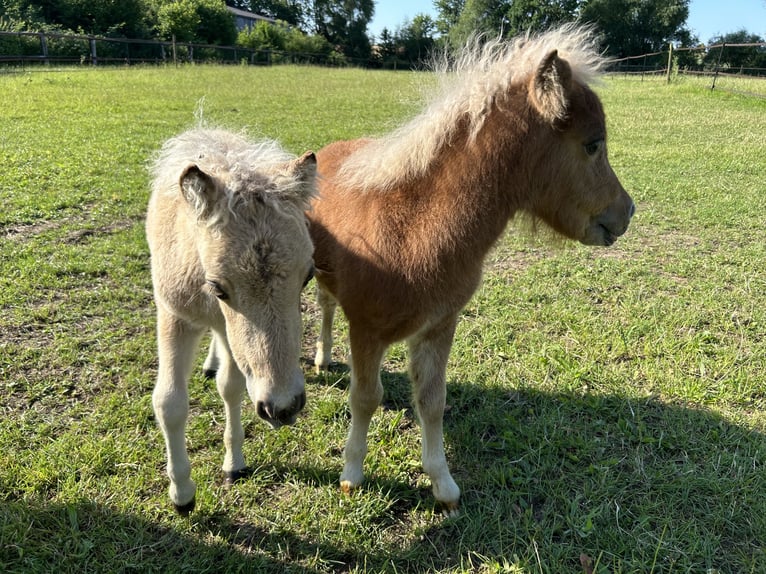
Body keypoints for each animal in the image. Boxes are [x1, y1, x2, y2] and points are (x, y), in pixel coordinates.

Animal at [306, 25, 636, 516]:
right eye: (593, 144)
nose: (626, 212)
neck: (412, 229)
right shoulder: (366, 329)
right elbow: (365, 398)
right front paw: (351, 475)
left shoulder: (439, 326)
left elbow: (432, 401)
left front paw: (443, 486)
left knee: (327, 302)